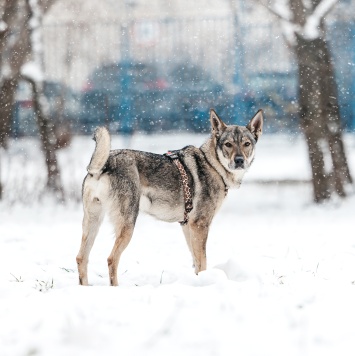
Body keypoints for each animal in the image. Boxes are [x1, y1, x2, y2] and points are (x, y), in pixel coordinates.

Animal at [76, 109, 262, 286]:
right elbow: (202, 262)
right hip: (128, 225)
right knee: (111, 259)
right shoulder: (200, 225)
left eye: (246, 144)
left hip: (93, 222)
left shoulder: (187, 226)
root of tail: (104, 165)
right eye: (228, 144)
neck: (213, 165)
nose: (239, 161)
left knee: (81, 258)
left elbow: (196, 261)